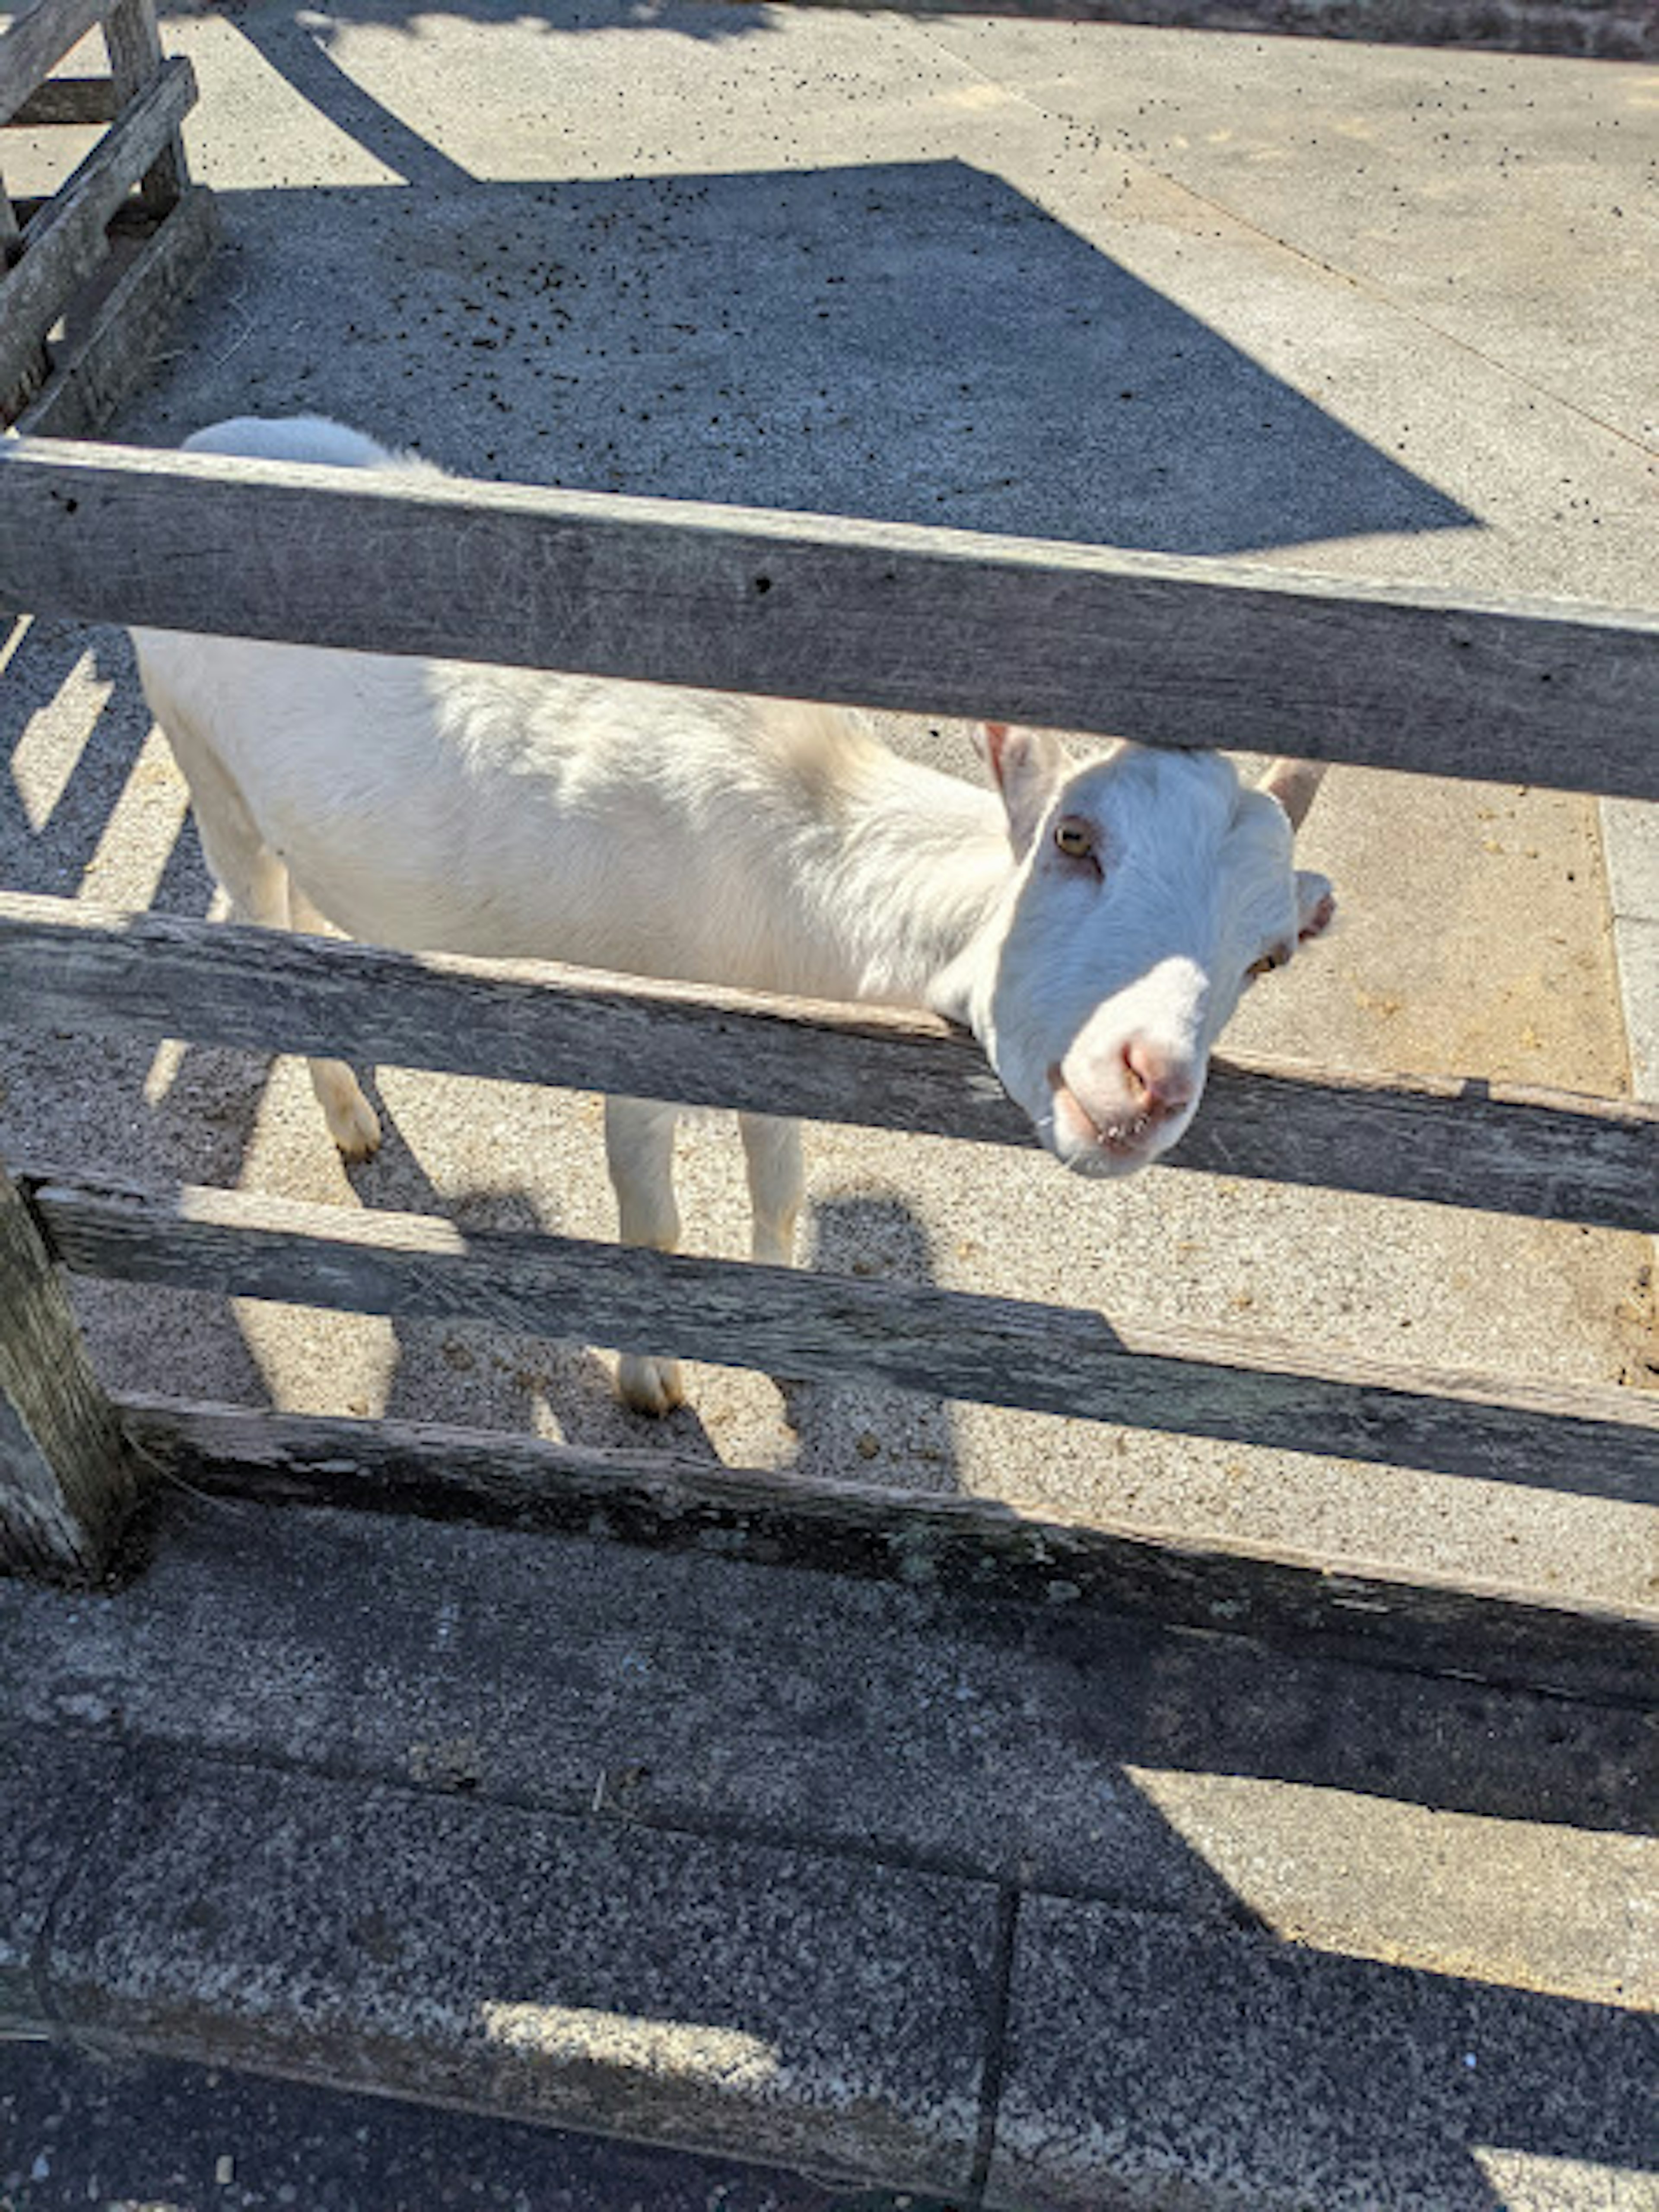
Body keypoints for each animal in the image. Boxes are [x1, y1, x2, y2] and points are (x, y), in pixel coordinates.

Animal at [137, 418, 1344, 1415]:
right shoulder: (633, 1032)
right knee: (256, 923)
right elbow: (653, 1223)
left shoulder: (778, 1034)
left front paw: (782, 1334)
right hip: (203, 761)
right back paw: (348, 1113)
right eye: (1073, 838)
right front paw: (651, 1381)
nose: (1149, 1083)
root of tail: (200, 439)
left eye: (1270, 956)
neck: (799, 846)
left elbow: (782, 1185)